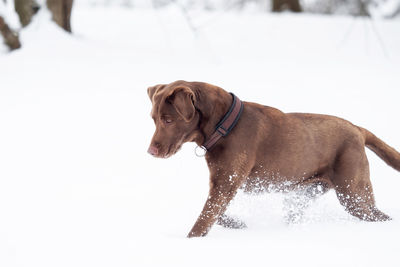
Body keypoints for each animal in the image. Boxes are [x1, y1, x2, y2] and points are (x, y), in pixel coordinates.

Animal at [148, 80, 400, 239]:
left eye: (168, 120)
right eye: (153, 118)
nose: (150, 151)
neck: (224, 125)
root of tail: (358, 129)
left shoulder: (226, 182)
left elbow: (205, 217)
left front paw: (191, 241)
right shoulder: (222, 183)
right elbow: (215, 214)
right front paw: (237, 224)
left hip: (353, 194)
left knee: (377, 215)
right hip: (303, 196)